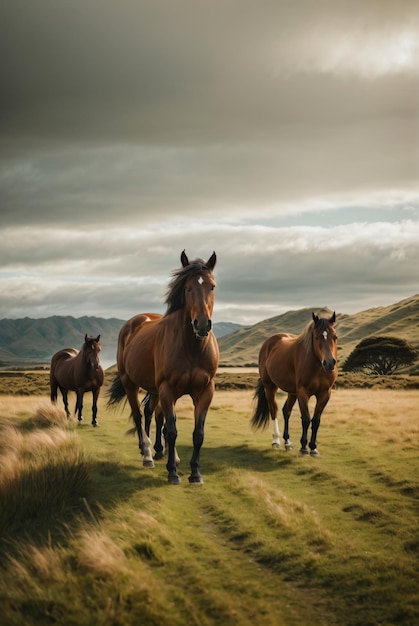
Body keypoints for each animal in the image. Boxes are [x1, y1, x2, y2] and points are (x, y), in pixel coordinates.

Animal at [107, 249, 220, 482]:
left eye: (212, 286)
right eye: (187, 287)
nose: (202, 325)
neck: (191, 347)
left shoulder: (205, 390)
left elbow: (197, 433)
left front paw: (195, 472)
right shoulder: (168, 389)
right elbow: (171, 430)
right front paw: (173, 473)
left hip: (155, 390)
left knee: (152, 413)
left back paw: (161, 452)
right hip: (132, 384)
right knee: (139, 416)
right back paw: (147, 454)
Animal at [253, 310, 338, 454]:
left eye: (335, 337)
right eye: (316, 337)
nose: (329, 363)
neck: (318, 367)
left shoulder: (325, 394)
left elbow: (316, 420)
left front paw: (313, 447)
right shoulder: (303, 392)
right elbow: (306, 419)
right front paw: (304, 447)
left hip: (292, 392)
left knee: (285, 411)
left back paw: (287, 442)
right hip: (270, 387)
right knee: (274, 410)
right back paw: (276, 440)